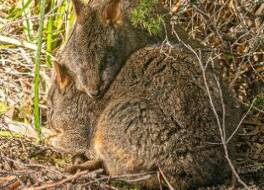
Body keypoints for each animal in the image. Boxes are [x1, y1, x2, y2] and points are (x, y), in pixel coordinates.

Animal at [46, 43, 240, 189]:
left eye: (50, 102)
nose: (48, 120)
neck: (82, 99)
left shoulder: (81, 130)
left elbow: (65, 141)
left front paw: (46, 136)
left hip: (117, 124)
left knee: (114, 169)